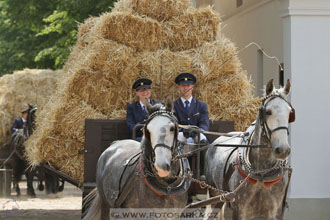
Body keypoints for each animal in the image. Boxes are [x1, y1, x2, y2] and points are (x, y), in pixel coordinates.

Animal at [205, 79, 296, 220]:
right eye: (268, 112)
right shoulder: (239, 211)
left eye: (289, 113)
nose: (283, 150)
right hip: (215, 196)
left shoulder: (274, 213)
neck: (262, 174)